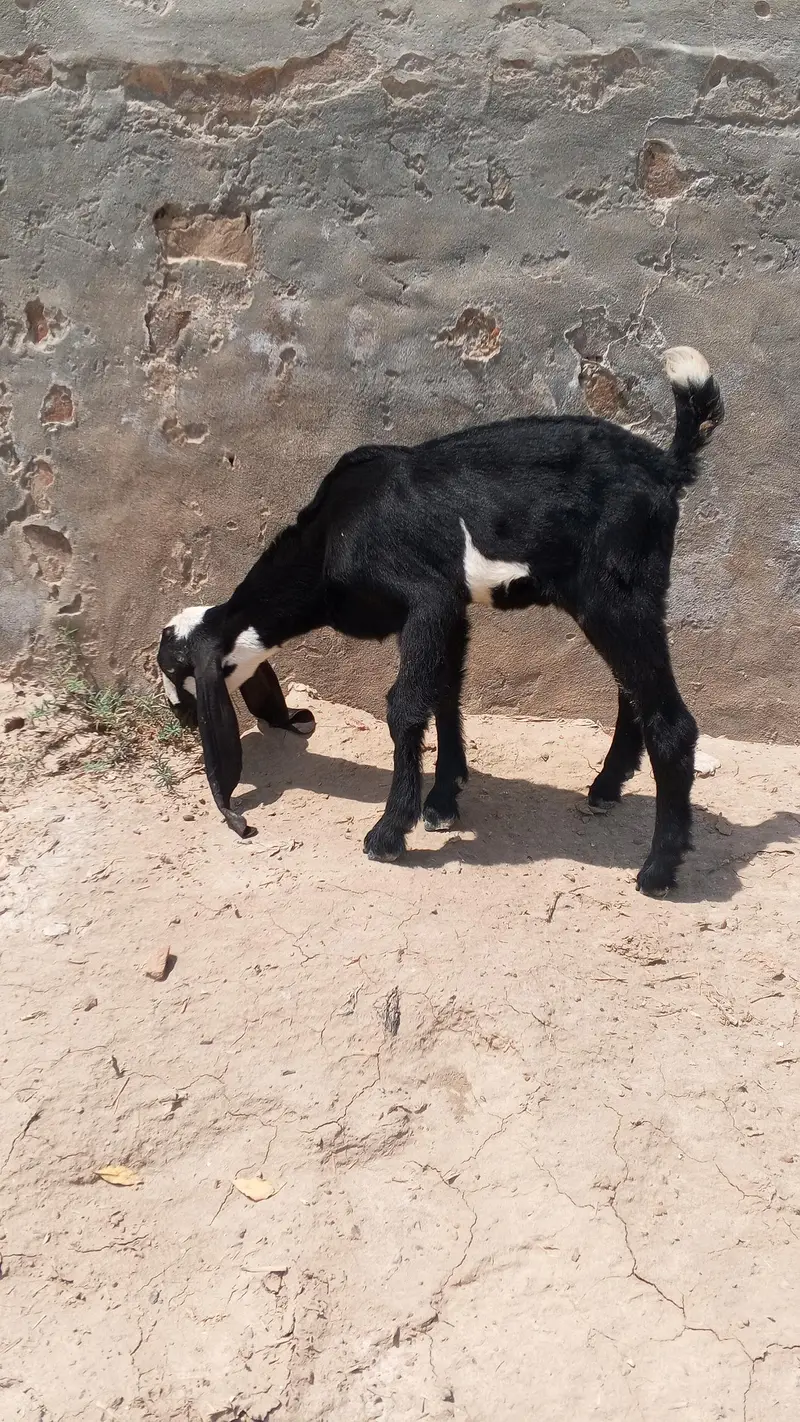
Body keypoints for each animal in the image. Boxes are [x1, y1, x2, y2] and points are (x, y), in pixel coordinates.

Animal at [157, 345, 724, 894]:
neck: (329, 539)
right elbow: (446, 691)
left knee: (670, 718)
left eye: (178, 672)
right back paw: (606, 788)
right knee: (632, 690)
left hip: (617, 592)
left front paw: (390, 831)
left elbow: (406, 706)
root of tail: (664, 466)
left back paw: (658, 870)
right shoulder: (452, 605)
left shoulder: (426, 599)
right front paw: (443, 800)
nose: (182, 719)